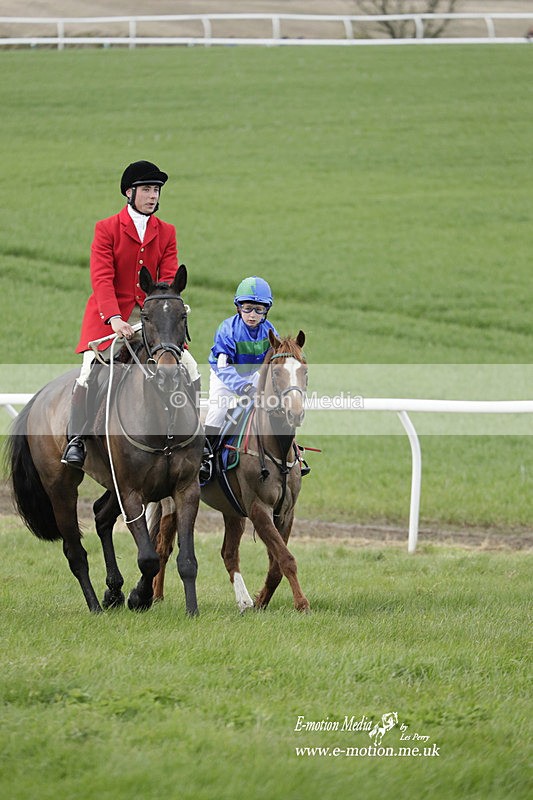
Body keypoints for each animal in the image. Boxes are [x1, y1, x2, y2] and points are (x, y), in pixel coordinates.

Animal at [6, 265, 204, 615]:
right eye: (146, 317)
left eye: (182, 315)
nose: (167, 373)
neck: (162, 414)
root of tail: (39, 398)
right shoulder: (131, 492)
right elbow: (148, 558)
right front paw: (140, 597)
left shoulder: (185, 489)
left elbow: (186, 560)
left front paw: (190, 610)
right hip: (62, 488)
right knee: (75, 552)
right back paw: (96, 605)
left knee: (100, 516)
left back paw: (113, 591)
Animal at [151, 329, 310, 613]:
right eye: (277, 372)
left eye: (304, 370)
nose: (295, 413)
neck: (276, 451)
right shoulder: (259, 509)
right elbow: (286, 558)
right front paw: (302, 604)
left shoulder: (286, 512)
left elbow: (276, 564)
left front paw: (261, 600)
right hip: (171, 501)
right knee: (163, 546)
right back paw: (157, 596)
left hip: (232, 511)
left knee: (228, 553)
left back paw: (244, 601)